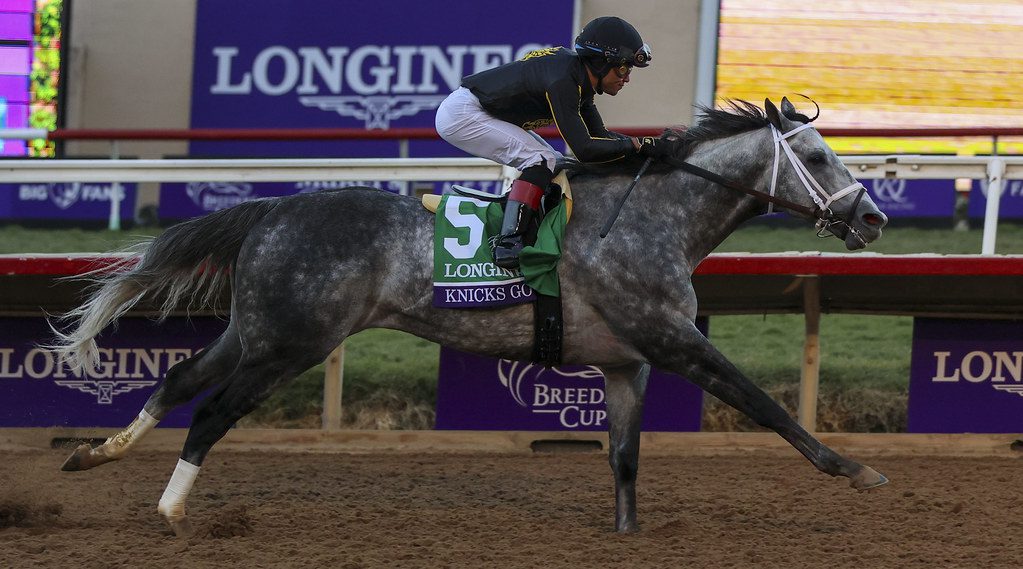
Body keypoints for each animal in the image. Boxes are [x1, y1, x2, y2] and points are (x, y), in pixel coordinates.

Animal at [51, 98, 892, 536]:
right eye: (819, 157)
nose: (872, 217)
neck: (653, 217)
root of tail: (272, 208)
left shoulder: (627, 361)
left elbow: (623, 455)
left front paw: (626, 532)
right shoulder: (673, 341)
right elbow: (762, 404)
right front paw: (855, 468)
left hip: (255, 329)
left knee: (179, 379)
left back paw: (96, 453)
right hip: (294, 342)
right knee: (212, 410)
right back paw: (170, 507)